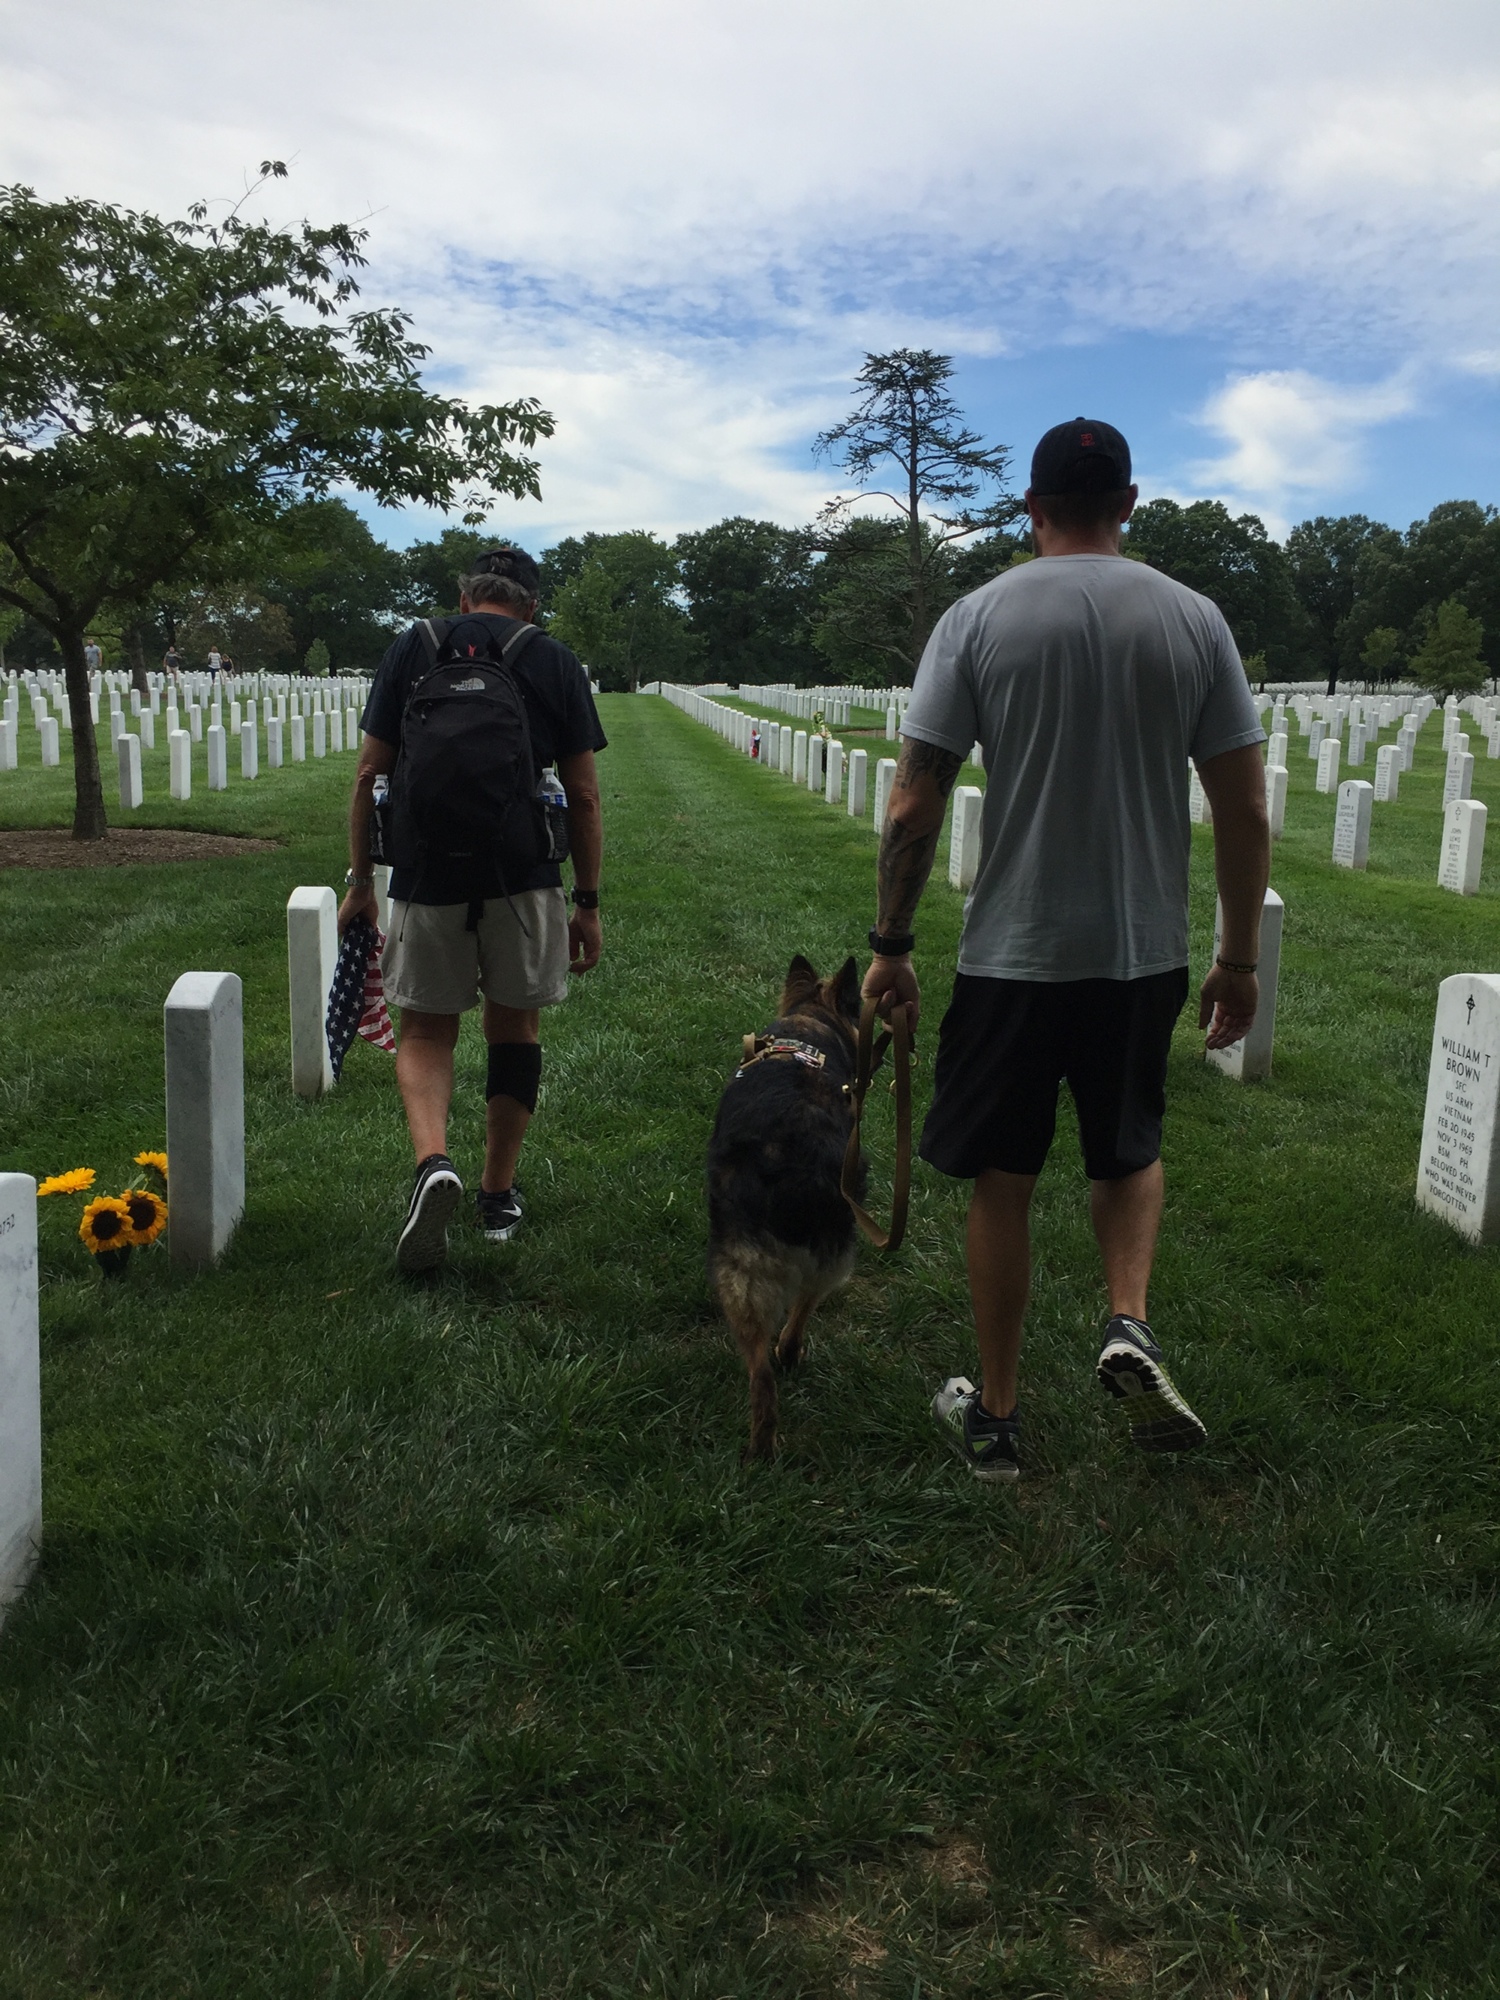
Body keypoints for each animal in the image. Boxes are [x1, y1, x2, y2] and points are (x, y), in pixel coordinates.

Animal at [708, 952, 868, 1456]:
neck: (810, 1023)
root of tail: (793, 1161)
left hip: (739, 1274)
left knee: (760, 1377)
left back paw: (760, 1448)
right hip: (827, 1253)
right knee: (802, 1308)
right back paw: (789, 1354)